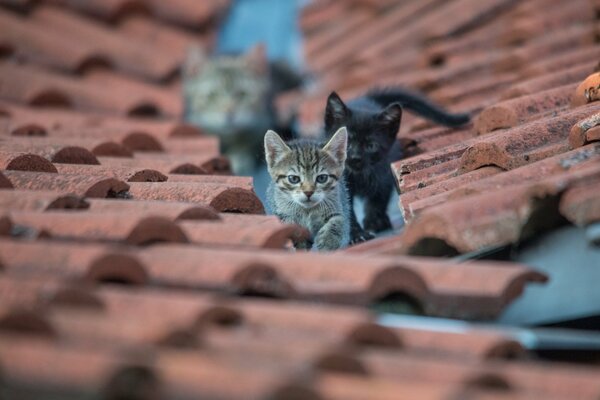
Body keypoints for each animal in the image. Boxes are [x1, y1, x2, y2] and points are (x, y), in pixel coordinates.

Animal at [322, 87, 472, 242]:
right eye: (347, 143)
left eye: (371, 146)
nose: (355, 158)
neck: (359, 176)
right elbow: (345, 208)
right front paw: (357, 234)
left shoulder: (385, 170)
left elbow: (379, 197)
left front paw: (375, 221)